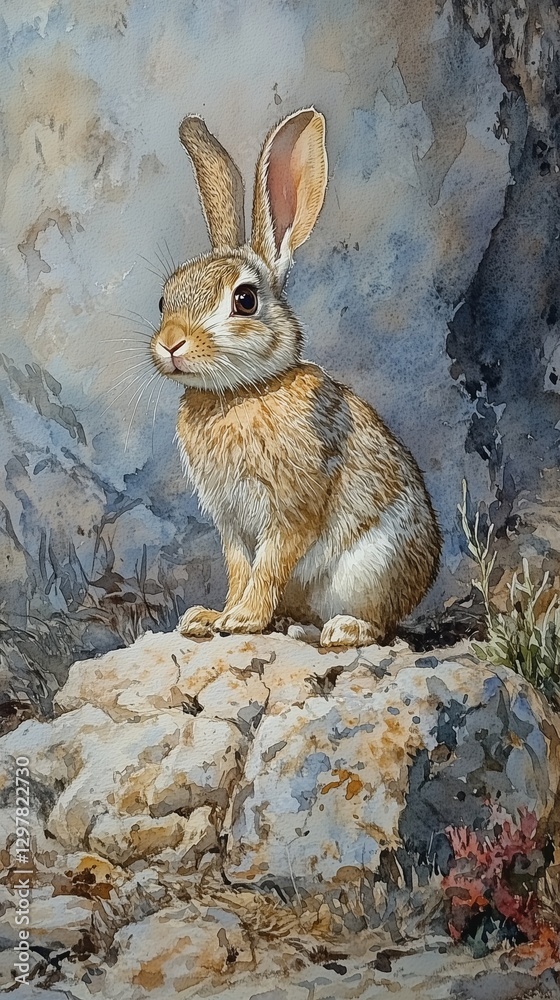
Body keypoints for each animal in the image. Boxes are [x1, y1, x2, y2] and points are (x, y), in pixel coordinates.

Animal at [149, 107, 442, 648]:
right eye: (164, 299)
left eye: (245, 300)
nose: (171, 343)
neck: (241, 393)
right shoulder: (230, 522)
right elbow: (240, 567)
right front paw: (214, 617)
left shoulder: (291, 509)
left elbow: (270, 564)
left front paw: (242, 619)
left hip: (372, 568)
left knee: (380, 625)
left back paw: (341, 630)